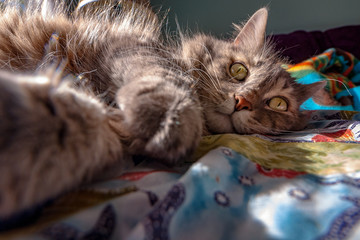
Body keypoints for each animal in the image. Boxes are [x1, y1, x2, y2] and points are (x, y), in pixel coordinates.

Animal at [0, 0, 324, 221]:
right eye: (238, 70)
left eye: (277, 104)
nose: (242, 100)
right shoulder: (133, 48)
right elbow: (165, 80)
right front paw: (168, 119)